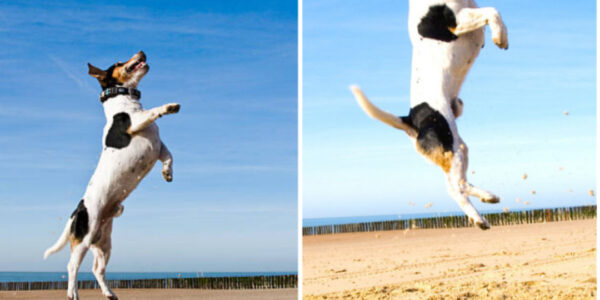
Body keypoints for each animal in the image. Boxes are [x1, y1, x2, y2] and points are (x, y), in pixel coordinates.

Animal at [42, 50, 180, 298]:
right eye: (118, 62)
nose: (142, 52)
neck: (124, 100)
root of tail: (77, 210)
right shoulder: (135, 123)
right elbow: (153, 111)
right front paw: (169, 107)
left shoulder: (158, 146)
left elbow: (169, 156)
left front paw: (167, 173)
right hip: (84, 238)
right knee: (72, 266)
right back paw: (73, 293)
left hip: (104, 244)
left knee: (97, 269)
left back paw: (109, 293)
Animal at [350, 0, 508, 230]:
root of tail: (410, 120)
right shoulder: (457, 20)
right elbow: (492, 11)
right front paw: (501, 37)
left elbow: (492, 11)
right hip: (451, 147)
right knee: (456, 187)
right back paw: (481, 214)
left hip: (456, 149)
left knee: (457, 185)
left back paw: (487, 200)